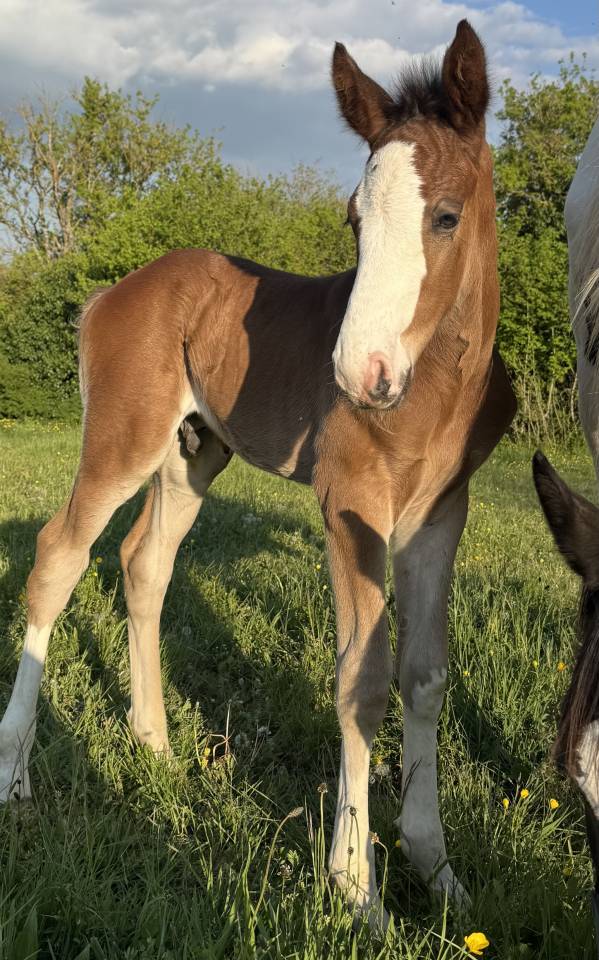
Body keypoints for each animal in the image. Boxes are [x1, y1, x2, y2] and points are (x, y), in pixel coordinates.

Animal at [0, 20, 516, 930]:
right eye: (352, 220)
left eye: (446, 216)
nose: (358, 373)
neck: (433, 386)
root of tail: (110, 293)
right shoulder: (350, 504)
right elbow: (361, 680)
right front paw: (356, 891)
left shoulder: (437, 516)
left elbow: (423, 676)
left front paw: (437, 871)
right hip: (124, 440)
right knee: (60, 556)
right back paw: (15, 771)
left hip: (192, 452)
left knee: (144, 563)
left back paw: (155, 745)